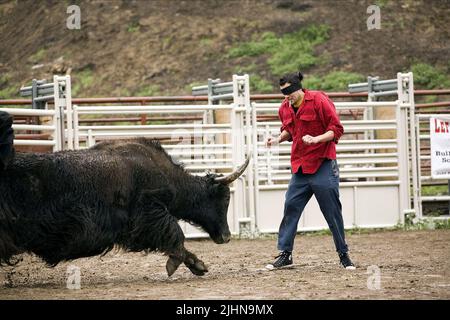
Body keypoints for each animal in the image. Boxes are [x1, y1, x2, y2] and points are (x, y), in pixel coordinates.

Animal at [0, 111, 251, 276]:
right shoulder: (150, 212)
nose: (226, 236)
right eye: (224, 199)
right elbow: (175, 234)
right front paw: (188, 265)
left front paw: (195, 265)